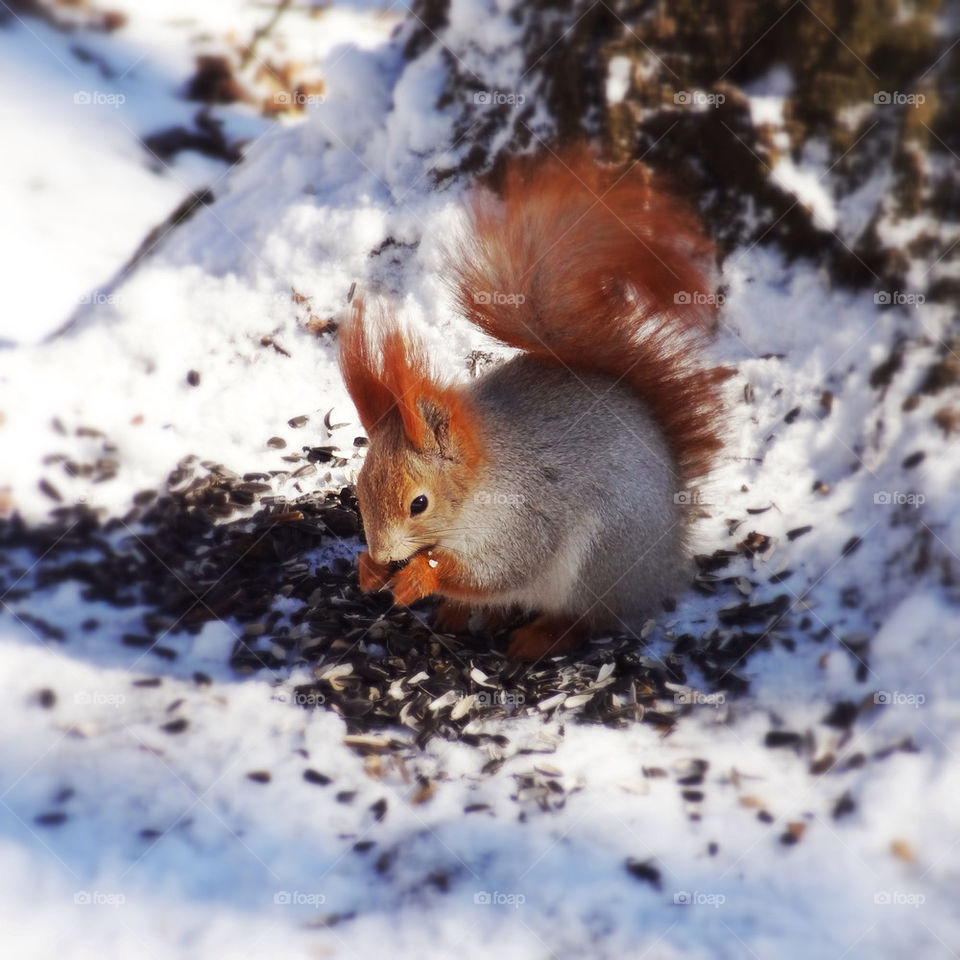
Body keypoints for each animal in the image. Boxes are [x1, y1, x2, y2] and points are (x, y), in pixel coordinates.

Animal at [339, 146, 727, 661]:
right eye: (360, 488)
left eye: (419, 504)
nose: (383, 553)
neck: (479, 480)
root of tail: (667, 559)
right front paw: (369, 569)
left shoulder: (522, 518)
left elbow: (505, 568)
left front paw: (421, 576)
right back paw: (461, 614)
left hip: (601, 560)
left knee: (585, 617)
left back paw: (539, 636)